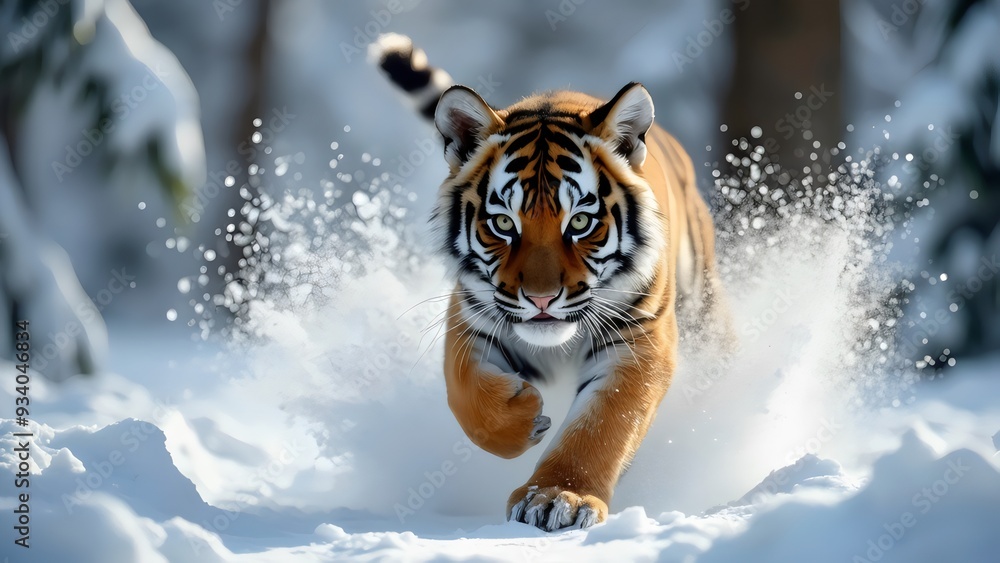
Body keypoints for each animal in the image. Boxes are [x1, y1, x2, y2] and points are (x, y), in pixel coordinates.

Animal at [370, 33, 728, 531]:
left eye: (579, 221)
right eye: (503, 223)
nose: (541, 299)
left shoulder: (640, 339)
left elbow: (602, 425)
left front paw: (558, 497)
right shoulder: (470, 320)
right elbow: (466, 394)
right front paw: (523, 416)